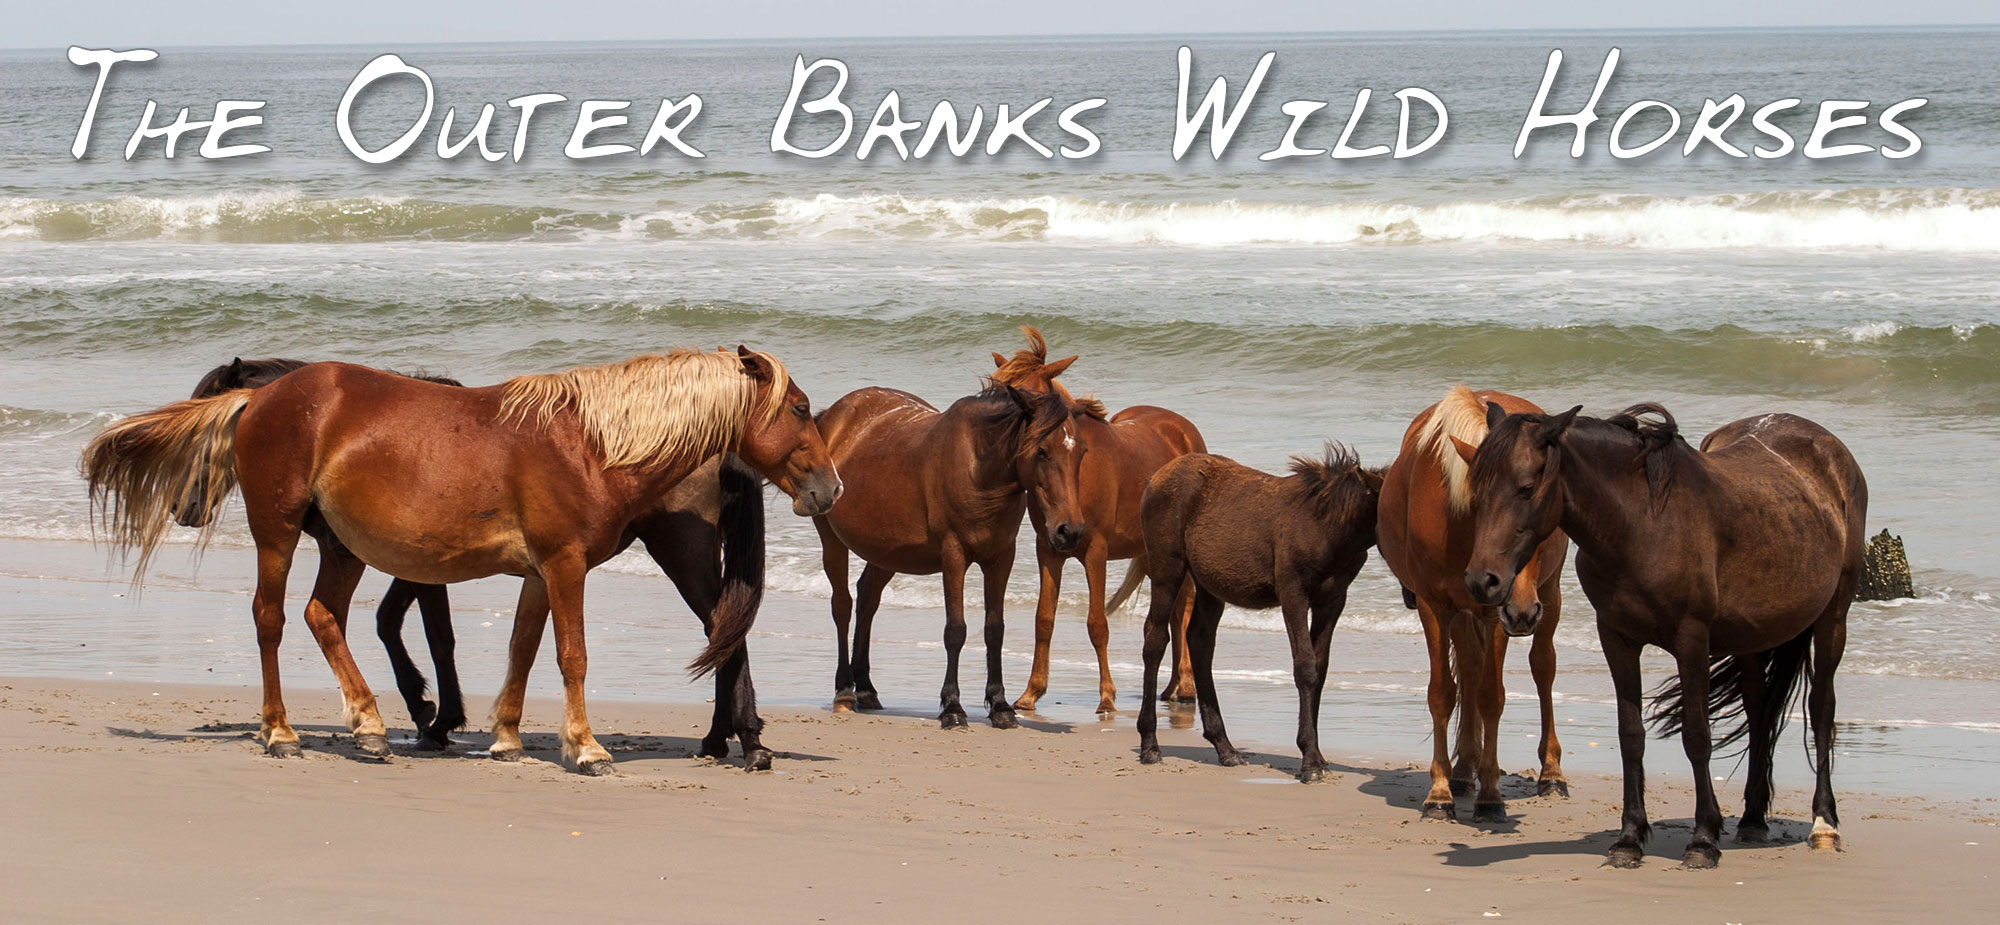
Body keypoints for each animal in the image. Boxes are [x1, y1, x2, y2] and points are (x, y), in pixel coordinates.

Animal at [82, 346, 836, 772]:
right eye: (801, 407)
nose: (831, 488)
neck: (592, 442)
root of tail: (263, 398)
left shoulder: (541, 570)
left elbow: (522, 648)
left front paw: (502, 737)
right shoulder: (561, 565)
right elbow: (569, 655)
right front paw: (585, 748)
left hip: (342, 547)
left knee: (322, 615)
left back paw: (369, 727)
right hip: (281, 533)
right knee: (272, 618)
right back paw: (283, 732)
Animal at [984, 328, 1200, 712]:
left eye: (1026, 397)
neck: (1074, 471)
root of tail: (1183, 430)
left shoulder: (1095, 550)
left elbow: (1097, 623)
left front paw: (1107, 697)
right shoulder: (1048, 550)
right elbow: (1044, 619)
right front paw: (1031, 692)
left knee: (1184, 608)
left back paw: (1186, 687)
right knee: (1175, 612)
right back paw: (1171, 688)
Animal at [1136, 448, 1384, 780]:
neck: (1330, 527)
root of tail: (1154, 479)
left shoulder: (1333, 600)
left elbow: (1320, 669)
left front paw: (1318, 756)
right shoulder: (1293, 592)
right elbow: (1305, 668)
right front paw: (1309, 760)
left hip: (1209, 585)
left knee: (1199, 640)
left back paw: (1225, 747)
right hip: (1167, 569)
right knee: (1155, 638)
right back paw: (1150, 743)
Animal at [1384, 386, 1568, 820]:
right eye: (1479, 506)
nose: (1523, 612)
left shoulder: (1493, 614)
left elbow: (1491, 697)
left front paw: (1491, 796)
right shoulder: (1436, 606)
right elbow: (1443, 693)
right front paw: (1439, 794)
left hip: (1548, 595)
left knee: (1543, 668)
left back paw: (1550, 772)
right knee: (1467, 671)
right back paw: (1464, 770)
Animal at [1464, 402, 1864, 868]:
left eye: (1526, 487)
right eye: (1476, 489)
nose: (1482, 581)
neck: (1642, 525)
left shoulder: (1691, 640)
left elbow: (1697, 735)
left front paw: (1703, 839)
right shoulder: (1616, 638)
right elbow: (1630, 735)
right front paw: (1629, 838)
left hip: (1833, 618)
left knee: (1821, 710)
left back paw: (1824, 825)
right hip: (1752, 640)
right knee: (1759, 712)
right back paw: (1752, 820)